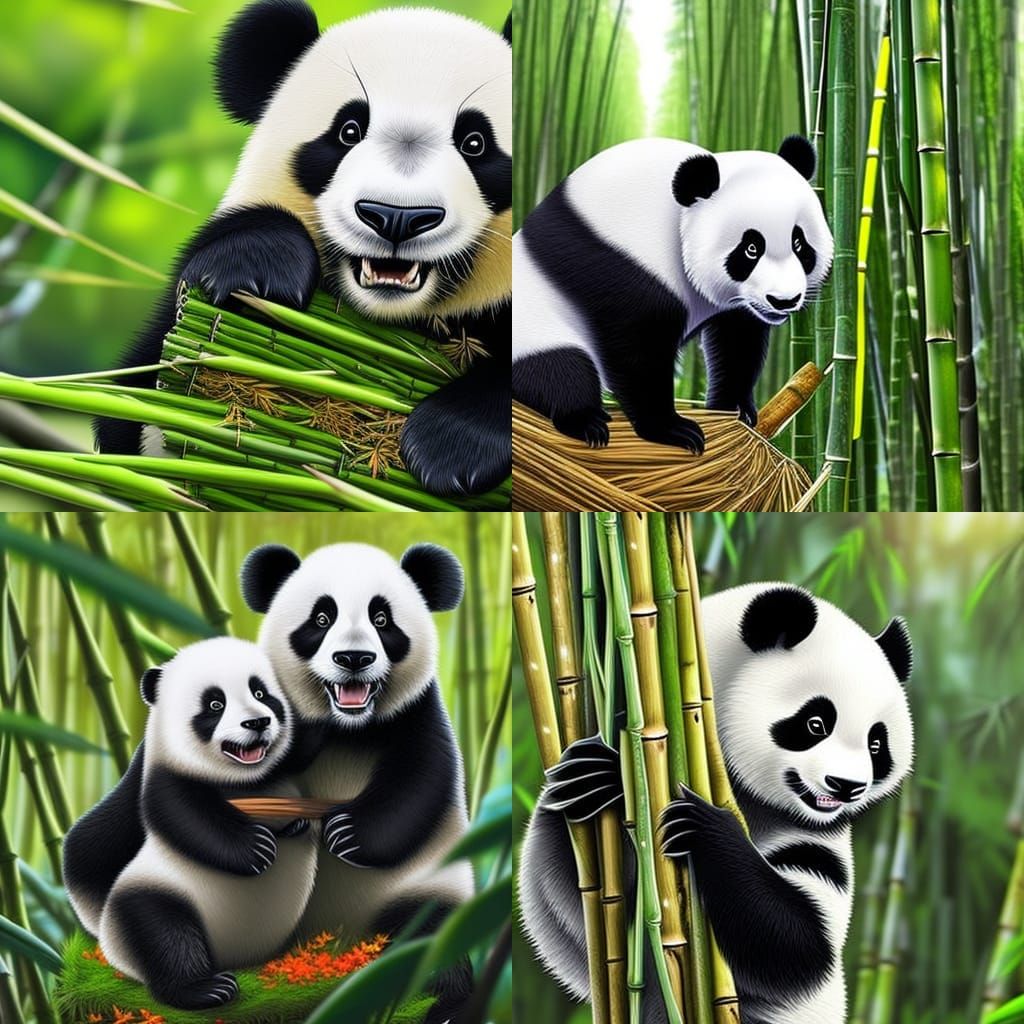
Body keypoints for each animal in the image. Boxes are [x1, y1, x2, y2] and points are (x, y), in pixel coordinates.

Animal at [92, 638, 316, 1010]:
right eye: (215, 704)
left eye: (261, 692)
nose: (257, 722)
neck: (244, 779)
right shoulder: (167, 778)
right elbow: (183, 816)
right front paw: (256, 849)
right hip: (155, 892)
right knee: (162, 932)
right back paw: (205, 989)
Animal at [96, 1, 512, 498]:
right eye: (348, 130)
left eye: (475, 143)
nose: (396, 217)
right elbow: (144, 412)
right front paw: (258, 274)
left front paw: (449, 447)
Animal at [239, 540, 473, 1024]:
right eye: (321, 619)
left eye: (381, 620)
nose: (353, 659)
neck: (349, 726)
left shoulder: (417, 712)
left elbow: (423, 778)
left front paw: (347, 834)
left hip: (419, 887)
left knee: (429, 933)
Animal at [512, 137, 834, 452]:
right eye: (751, 249)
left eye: (799, 243)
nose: (784, 300)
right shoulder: (623, 263)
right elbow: (637, 351)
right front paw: (671, 429)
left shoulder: (737, 304)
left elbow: (737, 342)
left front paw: (734, 409)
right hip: (538, 328)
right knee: (562, 372)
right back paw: (586, 422)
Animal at [519, 584, 913, 1024]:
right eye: (816, 724)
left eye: (876, 744)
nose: (847, 787)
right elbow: (573, 918)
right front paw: (599, 775)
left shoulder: (819, 847)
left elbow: (797, 947)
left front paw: (702, 827)